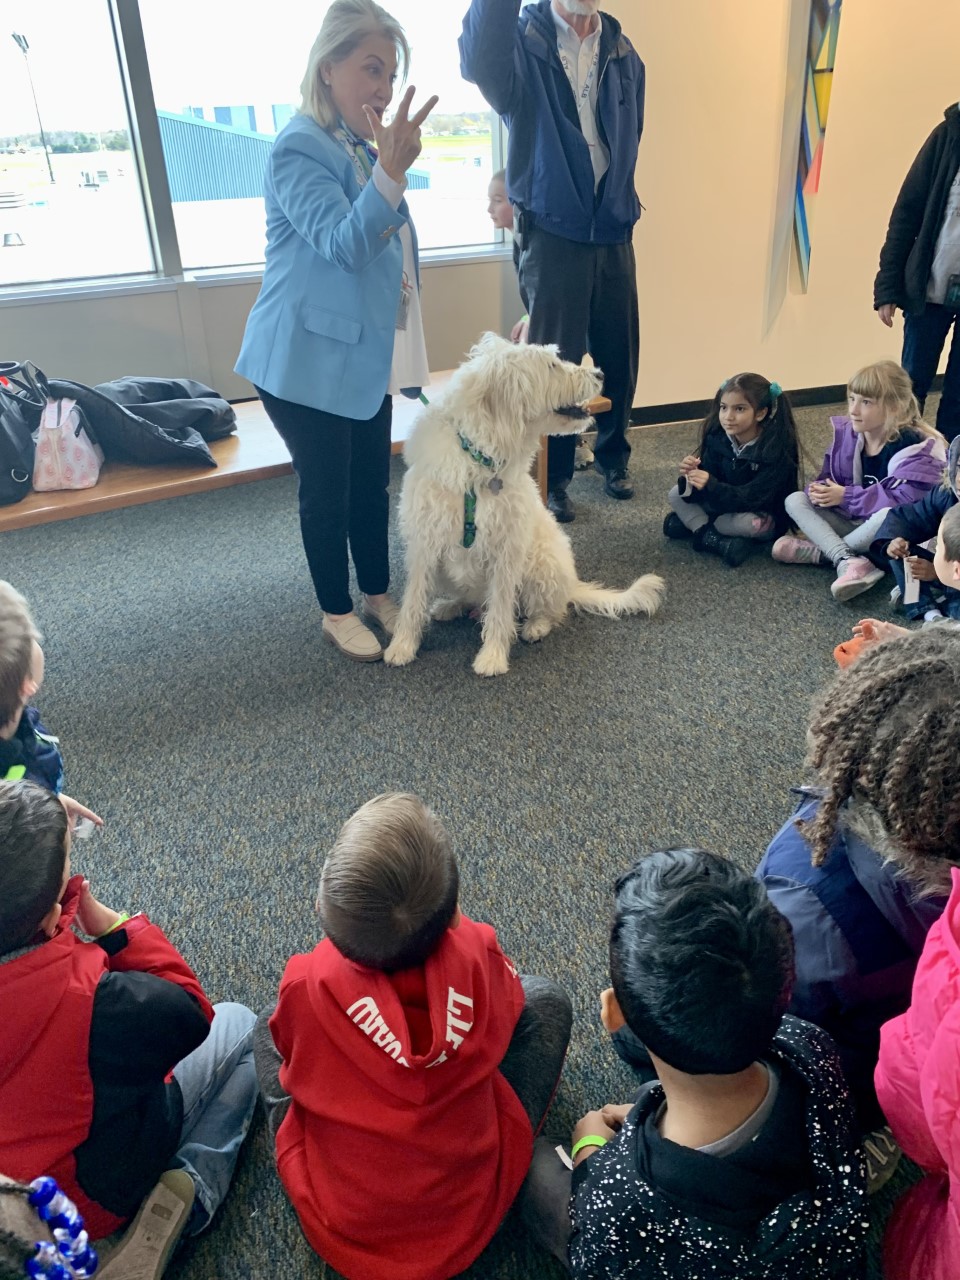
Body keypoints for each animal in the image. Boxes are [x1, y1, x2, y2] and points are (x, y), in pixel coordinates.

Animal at [386, 332, 665, 680]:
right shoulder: (424, 545)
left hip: (542, 562)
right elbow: (413, 599)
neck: (477, 463)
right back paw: (450, 606)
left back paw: (536, 626)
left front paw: (492, 656)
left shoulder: (507, 549)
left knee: (549, 610)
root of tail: (571, 586)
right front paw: (402, 646)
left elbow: (501, 608)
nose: (600, 374)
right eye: (551, 365)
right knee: (473, 600)